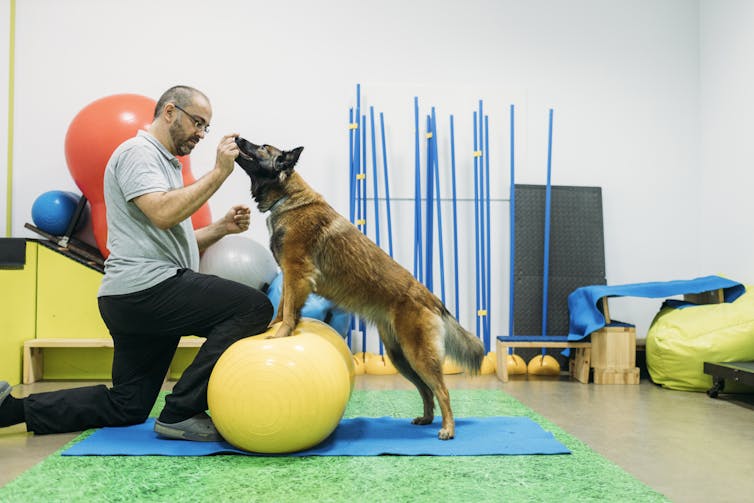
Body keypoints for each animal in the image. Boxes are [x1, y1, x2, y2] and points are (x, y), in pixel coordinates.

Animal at [232, 138, 484, 440]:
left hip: (418, 355)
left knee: (442, 391)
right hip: (400, 357)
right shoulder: (291, 275)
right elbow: (283, 307)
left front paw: (281, 335)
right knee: (426, 390)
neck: (288, 199)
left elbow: (290, 310)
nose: (237, 138)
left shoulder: (297, 272)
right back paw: (426, 419)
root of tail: (431, 297)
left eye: (263, 146)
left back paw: (448, 429)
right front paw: (275, 327)